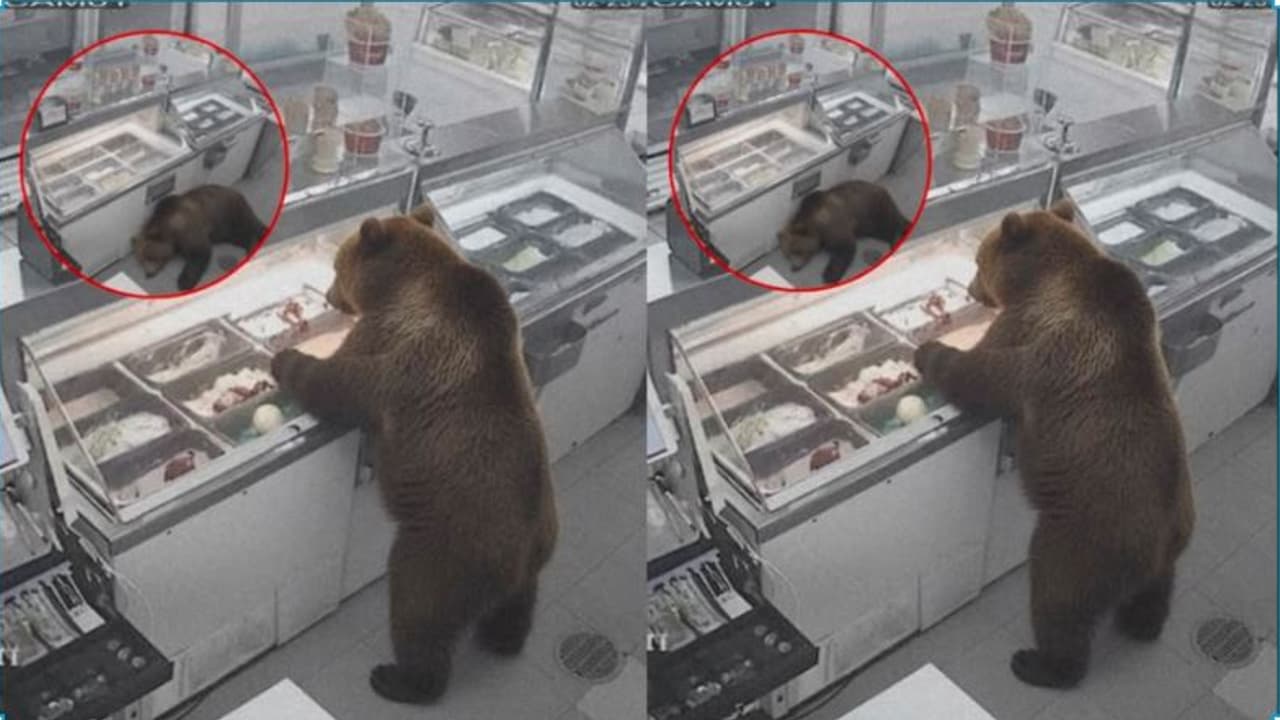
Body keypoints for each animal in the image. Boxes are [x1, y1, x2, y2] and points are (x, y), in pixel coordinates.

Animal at [132, 185, 266, 291]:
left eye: (150, 256)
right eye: (141, 261)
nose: (148, 274)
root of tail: (240, 195)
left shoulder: (188, 228)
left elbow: (199, 252)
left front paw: (184, 282)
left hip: (229, 213)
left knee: (247, 228)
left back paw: (254, 242)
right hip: (223, 229)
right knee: (238, 236)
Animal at [270, 203, 558, 704]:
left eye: (336, 266)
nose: (329, 295)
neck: (403, 284)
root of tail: (521, 552)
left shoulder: (395, 345)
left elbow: (339, 381)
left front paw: (286, 361)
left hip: (446, 544)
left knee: (418, 610)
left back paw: (399, 678)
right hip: (535, 548)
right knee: (519, 603)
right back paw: (503, 639)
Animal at [776, 180, 909, 284]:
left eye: (797, 250)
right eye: (787, 255)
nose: (794, 267)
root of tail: (884, 191)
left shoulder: (833, 224)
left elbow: (845, 247)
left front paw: (829, 275)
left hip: (873, 209)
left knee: (890, 224)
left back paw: (897, 237)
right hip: (868, 224)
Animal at [913, 200, 1195, 690]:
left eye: (978, 260)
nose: (971, 289)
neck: (1045, 276)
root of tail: (1158, 541)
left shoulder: (1034, 336)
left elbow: (982, 371)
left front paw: (929, 353)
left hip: (1084, 534)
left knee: (1058, 597)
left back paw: (1040, 663)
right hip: (1173, 534)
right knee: (1157, 588)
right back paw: (1142, 624)